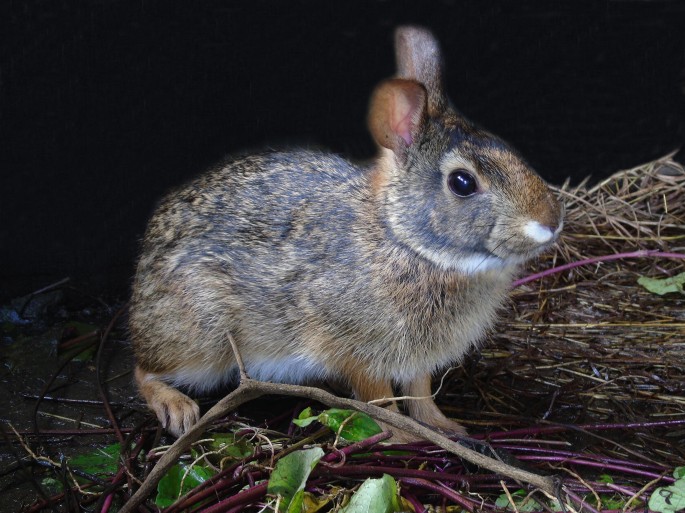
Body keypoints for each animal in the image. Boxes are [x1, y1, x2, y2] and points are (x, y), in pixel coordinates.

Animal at [129, 26, 563, 440]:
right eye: (462, 182)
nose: (551, 220)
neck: (404, 240)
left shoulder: (416, 359)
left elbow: (420, 394)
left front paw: (444, 428)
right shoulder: (352, 347)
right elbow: (380, 398)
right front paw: (401, 437)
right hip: (202, 338)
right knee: (143, 368)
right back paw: (177, 409)